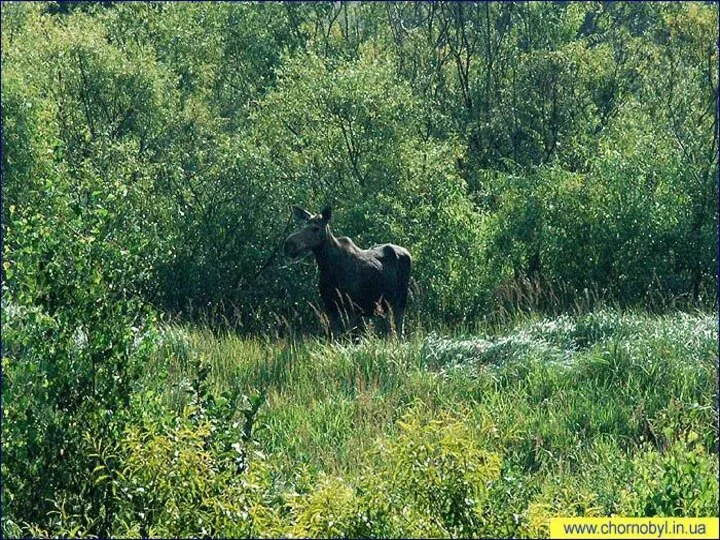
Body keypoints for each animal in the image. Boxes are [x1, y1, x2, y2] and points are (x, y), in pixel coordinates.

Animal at [284, 207, 414, 338]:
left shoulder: (352, 307)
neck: (327, 267)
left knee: (399, 328)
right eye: (302, 225)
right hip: (386, 304)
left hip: (401, 300)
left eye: (315, 228)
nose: (289, 245)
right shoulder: (330, 306)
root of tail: (407, 252)